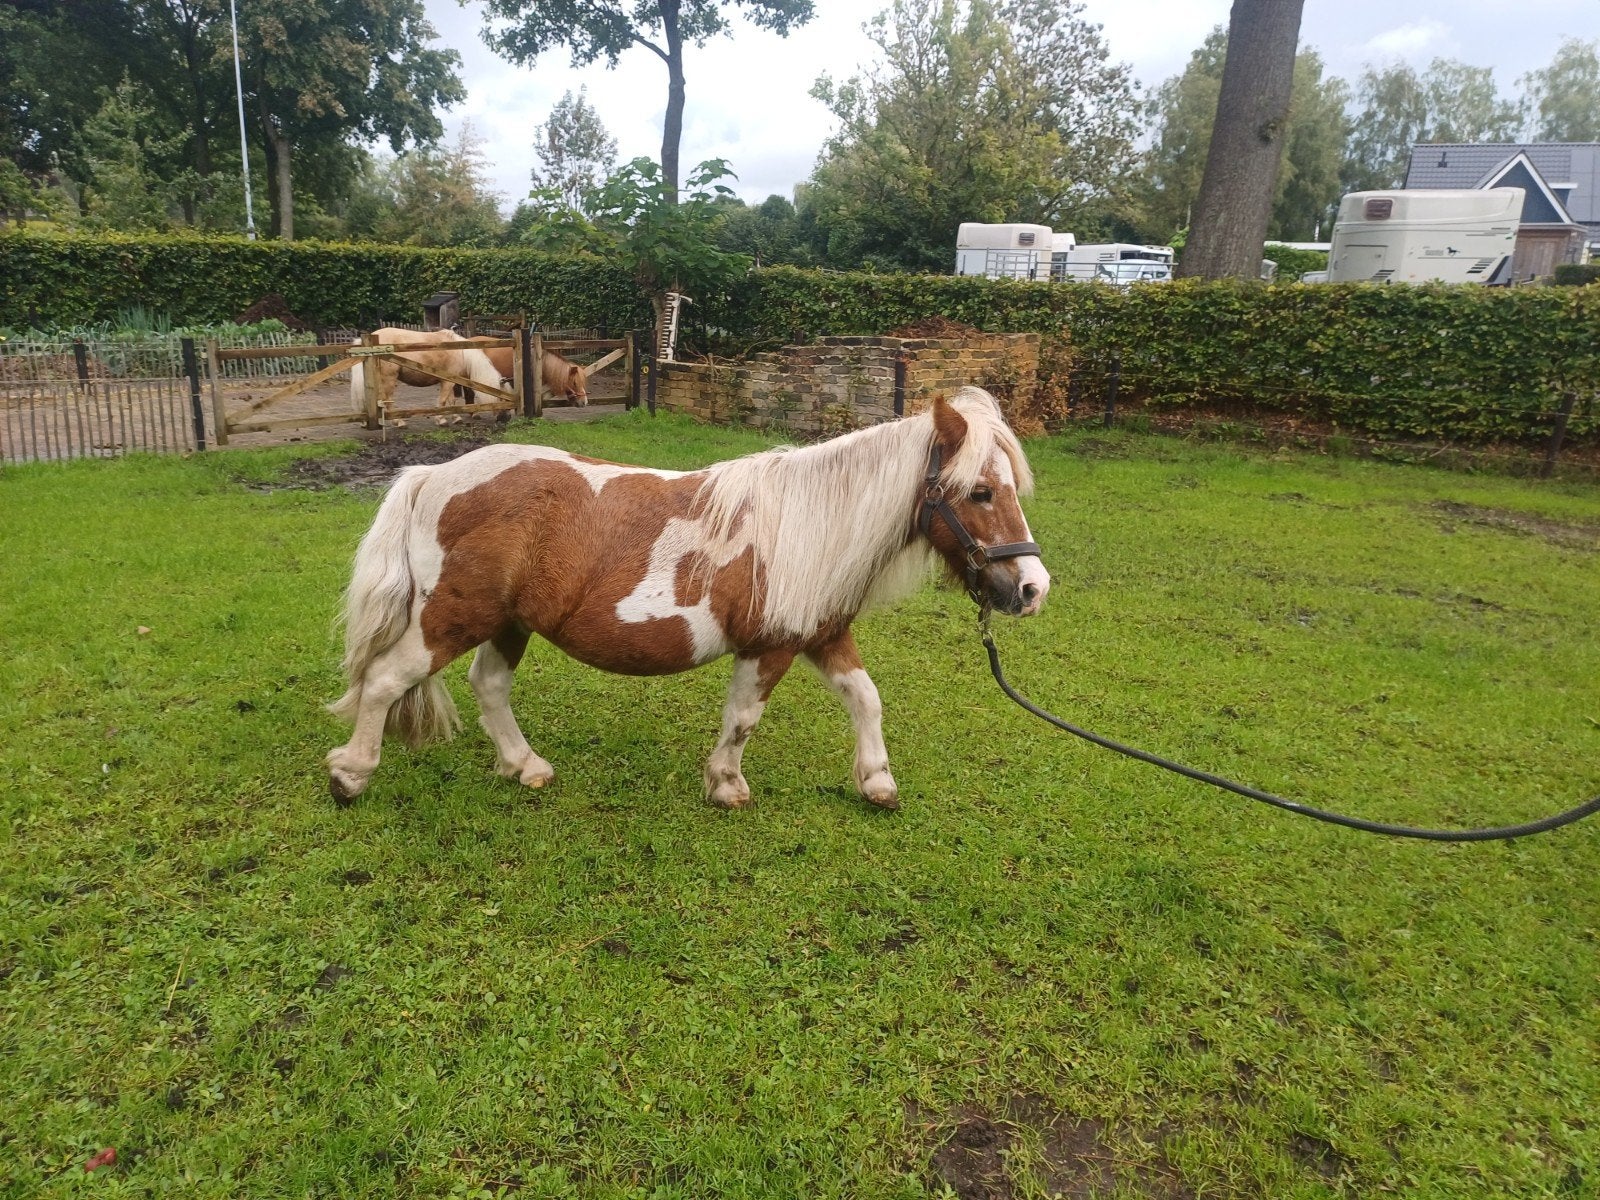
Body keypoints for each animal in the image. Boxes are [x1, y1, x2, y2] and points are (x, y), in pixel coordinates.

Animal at [325, 386, 1050, 810]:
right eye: (980, 491)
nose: (1032, 589)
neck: (811, 522)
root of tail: (431, 475)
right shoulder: (770, 647)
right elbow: (744, 718)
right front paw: (726, 785)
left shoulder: (821, 635)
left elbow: (866, 699)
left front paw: (876, 781)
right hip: (452, 617)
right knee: (385, 681)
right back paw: (351, 775)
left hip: (507, 622)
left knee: (489, 686)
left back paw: (525, 766)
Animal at [348, 328, 504, 414]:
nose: (504, 419)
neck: (461, 352)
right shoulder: (448, 382)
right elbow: (442, 401)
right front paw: (441, 419)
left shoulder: (448, 381)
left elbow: (450, 402)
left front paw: (454, 417)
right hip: (389, 379)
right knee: (387, 400)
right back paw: (399, 422)